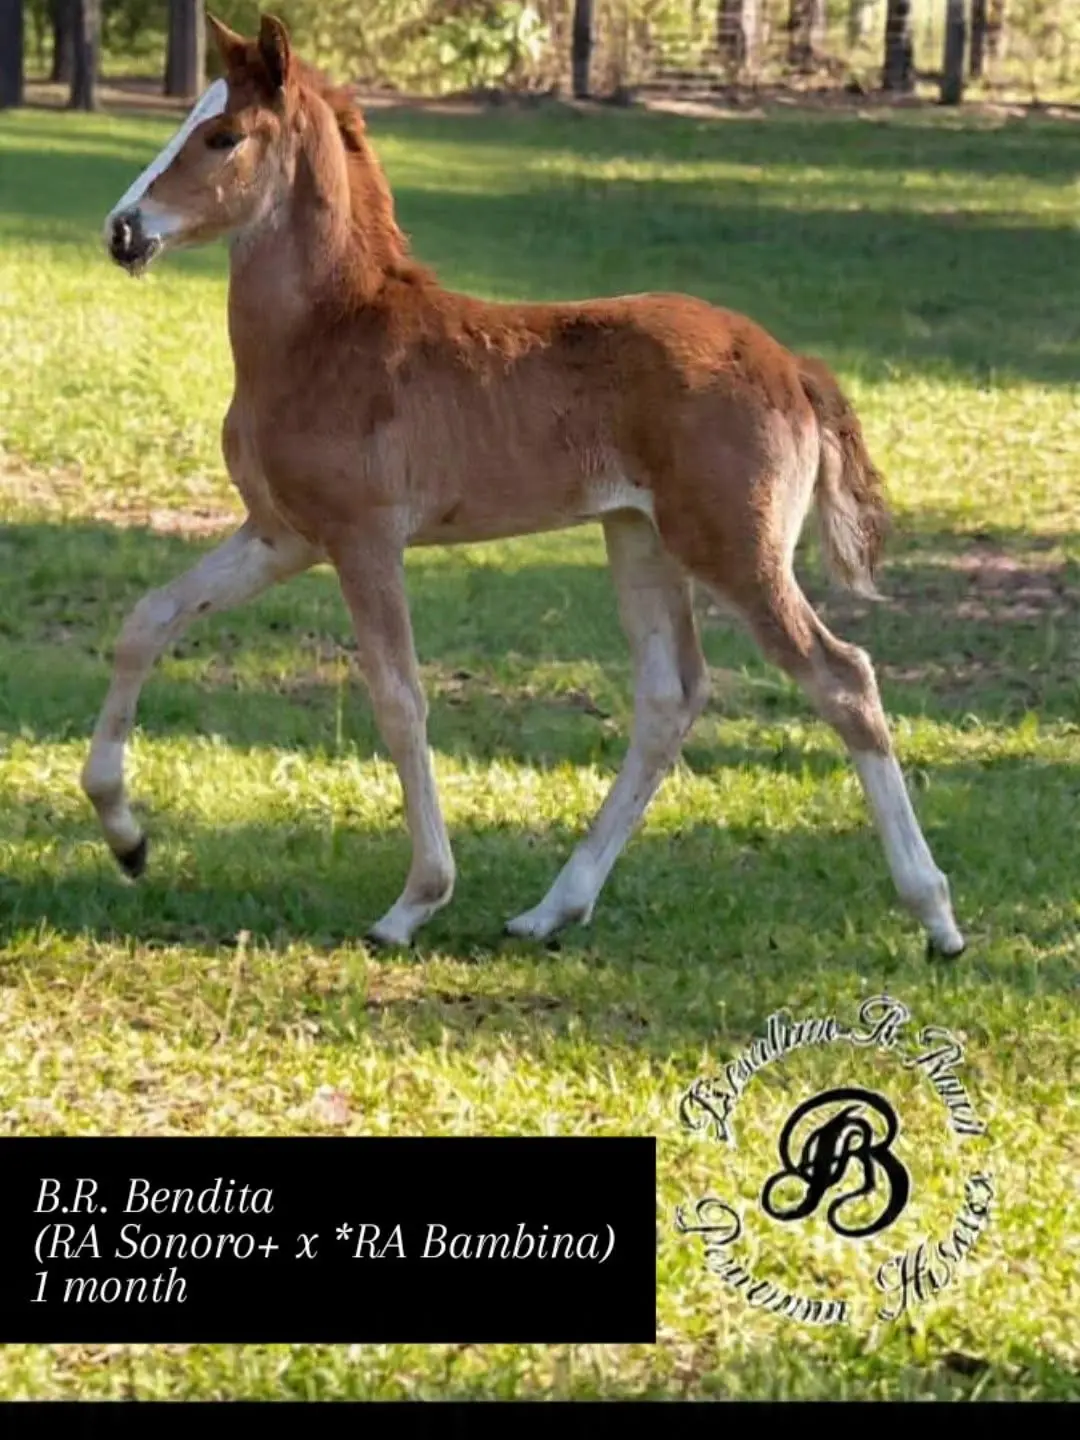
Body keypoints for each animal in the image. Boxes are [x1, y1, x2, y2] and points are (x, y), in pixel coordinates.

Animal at [86, 12, 965, 957]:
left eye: (222, 135)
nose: (123, 231)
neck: (324, 336)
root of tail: (792, 367)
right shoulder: (282, 533)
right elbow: (147, 622)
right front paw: (127, 838)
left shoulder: (364, 539)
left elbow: (399, 700)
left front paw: (416, 901)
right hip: (640, 538)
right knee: (670, 697)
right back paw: (552, 909)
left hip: (735, 547)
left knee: (843, 679)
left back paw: (937, 916)